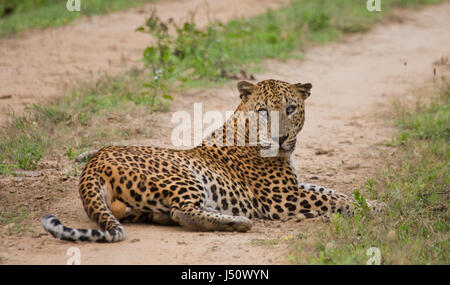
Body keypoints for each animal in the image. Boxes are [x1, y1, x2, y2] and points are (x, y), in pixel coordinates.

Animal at [41, 78, 384, 242]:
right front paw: (377, 209)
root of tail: (93, 162)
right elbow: (334, 200)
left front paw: (374, 202)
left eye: (291, 109)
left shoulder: (296, 186)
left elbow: (333, 191)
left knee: (170, 214)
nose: (281, 138)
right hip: (184, 176)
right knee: (183, 213)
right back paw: (237, 222)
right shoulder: (284, 198)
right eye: (263, 111)